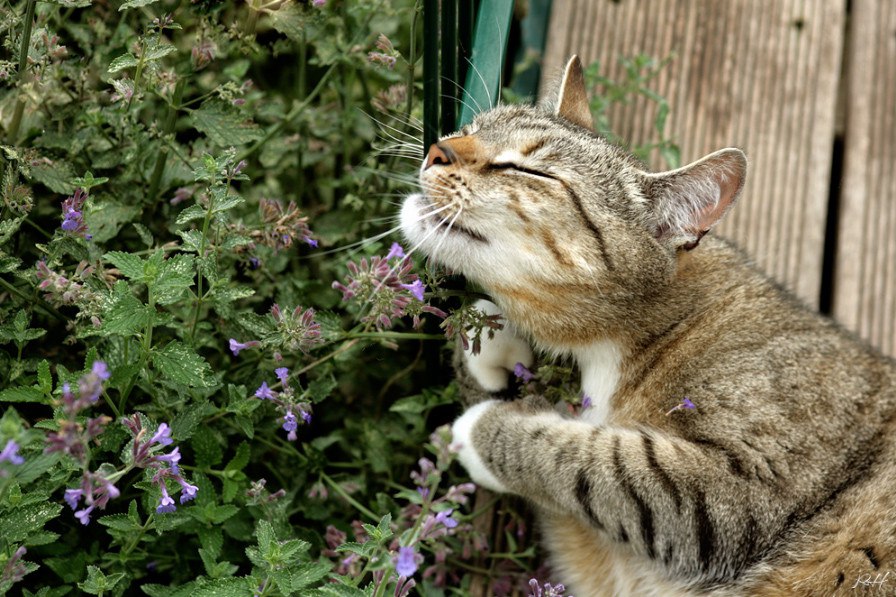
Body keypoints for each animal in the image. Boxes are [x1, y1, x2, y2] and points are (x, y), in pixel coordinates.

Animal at [400, 54, 896, 592]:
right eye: (470, 129)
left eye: (527, 169)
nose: (438, 148)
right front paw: (491, 341)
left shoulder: (739, 485)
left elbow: (593, 461)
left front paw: (480, 431)